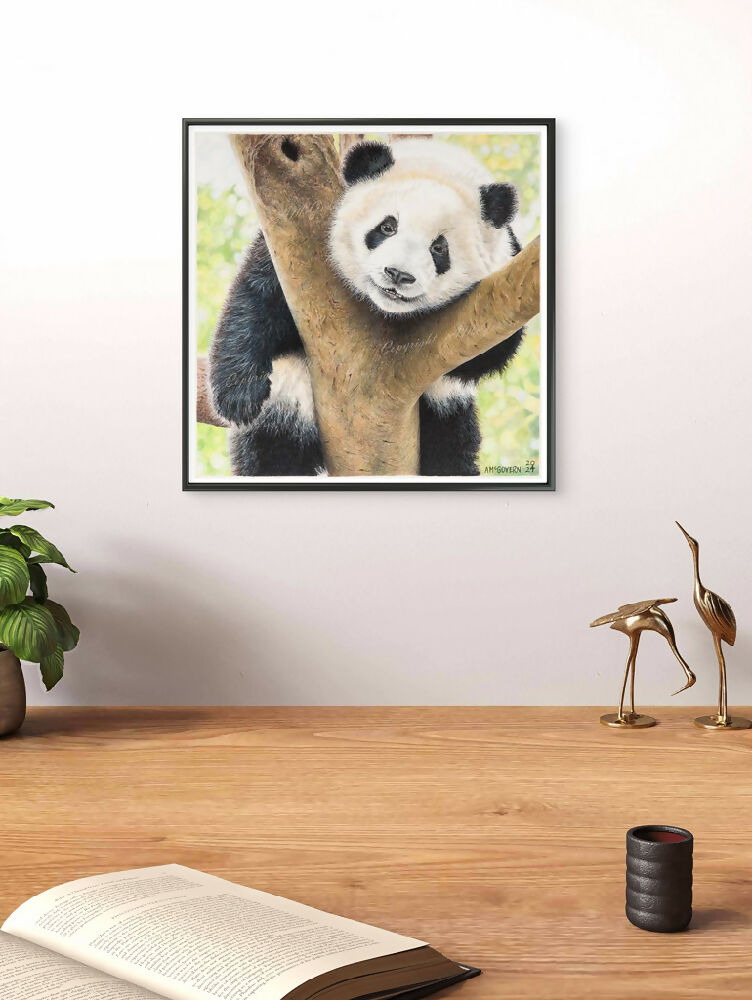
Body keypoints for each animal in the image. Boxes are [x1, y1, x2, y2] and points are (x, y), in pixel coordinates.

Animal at [209, 137, 525, 476]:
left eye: (439, 248)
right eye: (387, 227)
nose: (398, 275)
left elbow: (491, 351)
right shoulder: (294, 258)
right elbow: (255, 298)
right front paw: (238, 395)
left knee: (452, 441)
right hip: (288, 393)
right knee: (274, 442)